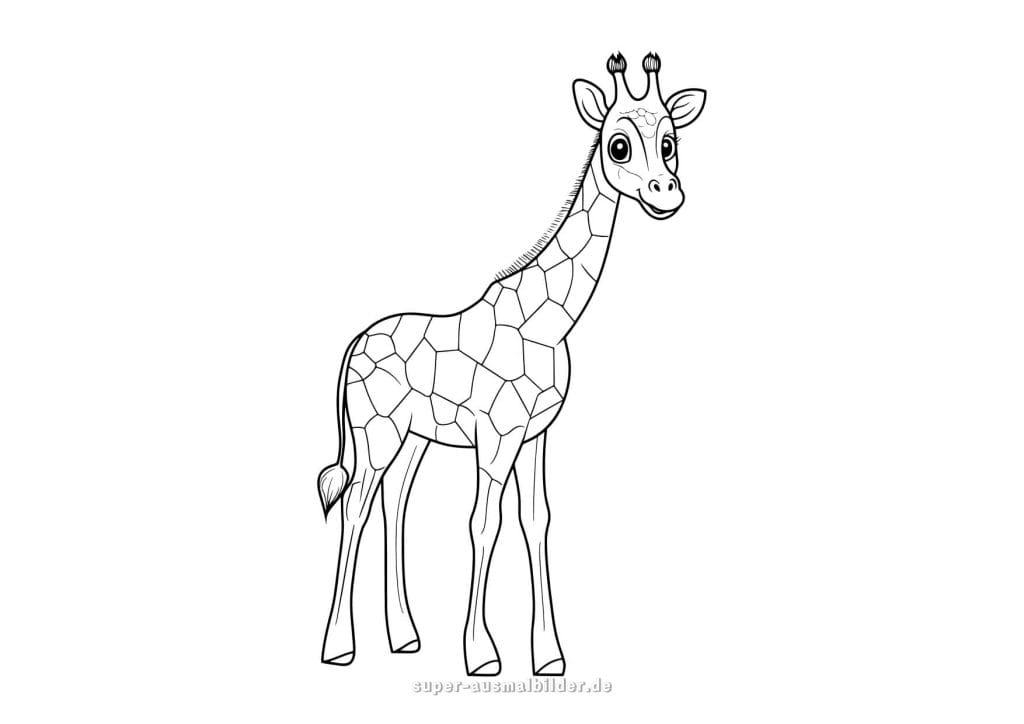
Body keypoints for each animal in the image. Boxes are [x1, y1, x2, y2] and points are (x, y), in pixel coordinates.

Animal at [317, 53, 706, 676]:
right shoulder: (496, 437)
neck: (548, 323)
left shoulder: (536, 434)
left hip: (413, 438)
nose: (666, 195)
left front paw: (548, 655)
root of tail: (353, 346)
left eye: (670, 142)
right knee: (354, 504)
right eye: (618, 145)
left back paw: (405, 637)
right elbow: (483, 522)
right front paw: (481, 654)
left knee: (394, 503)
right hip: (375, 431)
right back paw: (339, 646)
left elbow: (537, 520)